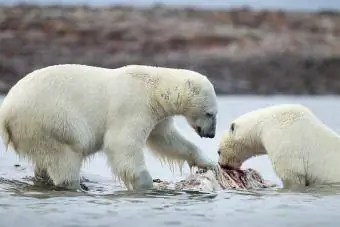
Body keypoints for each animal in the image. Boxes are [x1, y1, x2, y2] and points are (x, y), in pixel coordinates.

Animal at [0, 63, 218, 192]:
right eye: (210, 113)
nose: (211, 134)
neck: (155, 88)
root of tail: (6, 110)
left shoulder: (157, 116)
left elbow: (166, 140)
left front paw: (208, 163)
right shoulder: (133, 105)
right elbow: (122, 143)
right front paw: (146, 184)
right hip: (51, 121)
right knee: (65, 156)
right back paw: (74, 185)